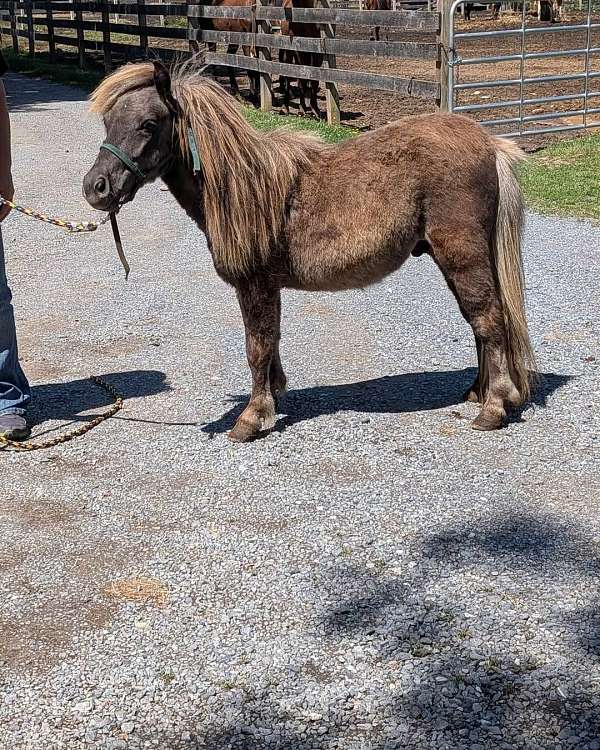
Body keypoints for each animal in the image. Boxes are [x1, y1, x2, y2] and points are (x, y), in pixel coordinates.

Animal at [83, 61, 537, 443]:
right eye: (108, 121)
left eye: (148, 124)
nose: (95, 188)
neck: (244, 188)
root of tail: (489, 141)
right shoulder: (268, 288)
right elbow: (270, 343)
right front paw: (272, 399)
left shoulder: (254, 285)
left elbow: (257, 346)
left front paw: (251, 419)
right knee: (479, 323)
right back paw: (478, 392)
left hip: (462, 255)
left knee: (489, 320)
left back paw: (494, 406)